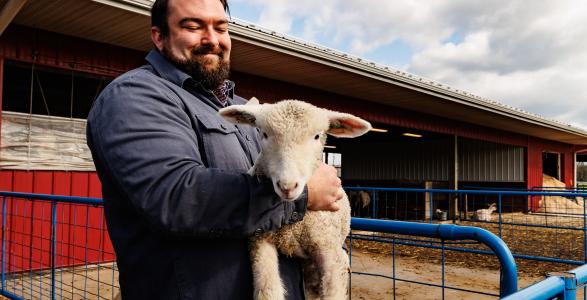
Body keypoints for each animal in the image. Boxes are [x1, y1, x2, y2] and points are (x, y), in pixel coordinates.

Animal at [218, 97, 374, 298]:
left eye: (317, 136)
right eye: (264, 134)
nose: (287, 186)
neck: (293, 227)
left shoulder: (329, 250)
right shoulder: (260, 241)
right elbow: (268, 291)